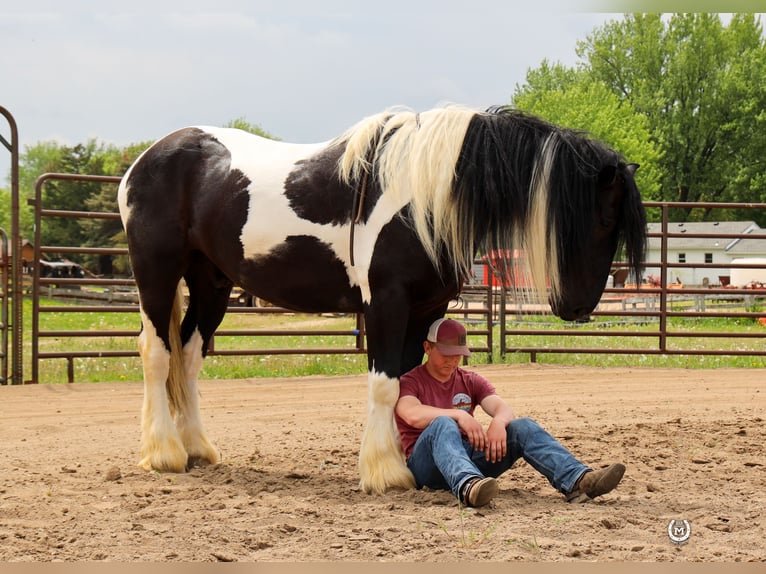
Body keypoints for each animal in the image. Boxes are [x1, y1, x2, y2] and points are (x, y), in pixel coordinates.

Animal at [120, 106, 648, 498]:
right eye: (604, 219)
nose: (579, 308)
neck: (425, 196)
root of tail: (143, 162)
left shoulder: (427, 309)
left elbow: (407, 385)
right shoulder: (386, 304)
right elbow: (385, 386)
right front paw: (385, 472)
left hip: (212, 282)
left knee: (188, 356)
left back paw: (197, 450)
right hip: (157, 273)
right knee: (156, 354)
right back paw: (165, 453)